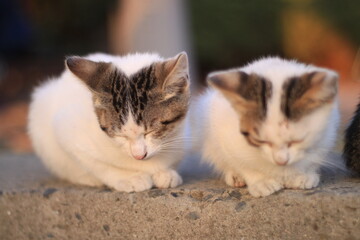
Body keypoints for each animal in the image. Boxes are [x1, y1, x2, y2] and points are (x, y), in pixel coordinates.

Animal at [28, 51, 191, 192]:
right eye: (120, 135)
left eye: (151, 131)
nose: (138, 156)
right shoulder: (66, 130)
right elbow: (97, 165)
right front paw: (129, 178)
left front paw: (166, 172)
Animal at [191, 56, 340, 197]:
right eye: (260, 141)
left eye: (297, 140)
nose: (281, 161)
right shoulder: (226, 136)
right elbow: (242, 162)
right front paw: (260, 182)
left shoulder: (328, 133)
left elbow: (314, 157)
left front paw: (301, 175)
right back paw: (235, 176)